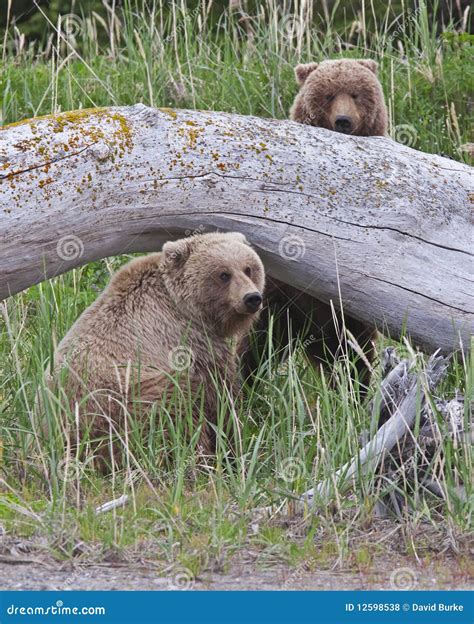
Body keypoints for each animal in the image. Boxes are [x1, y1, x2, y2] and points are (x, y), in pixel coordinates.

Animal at [52, 232, 266, 460]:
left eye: (248, 268)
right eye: (223, 274)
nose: (252, 298)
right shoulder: (191, 343)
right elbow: (219, 395)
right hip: (130, 398)